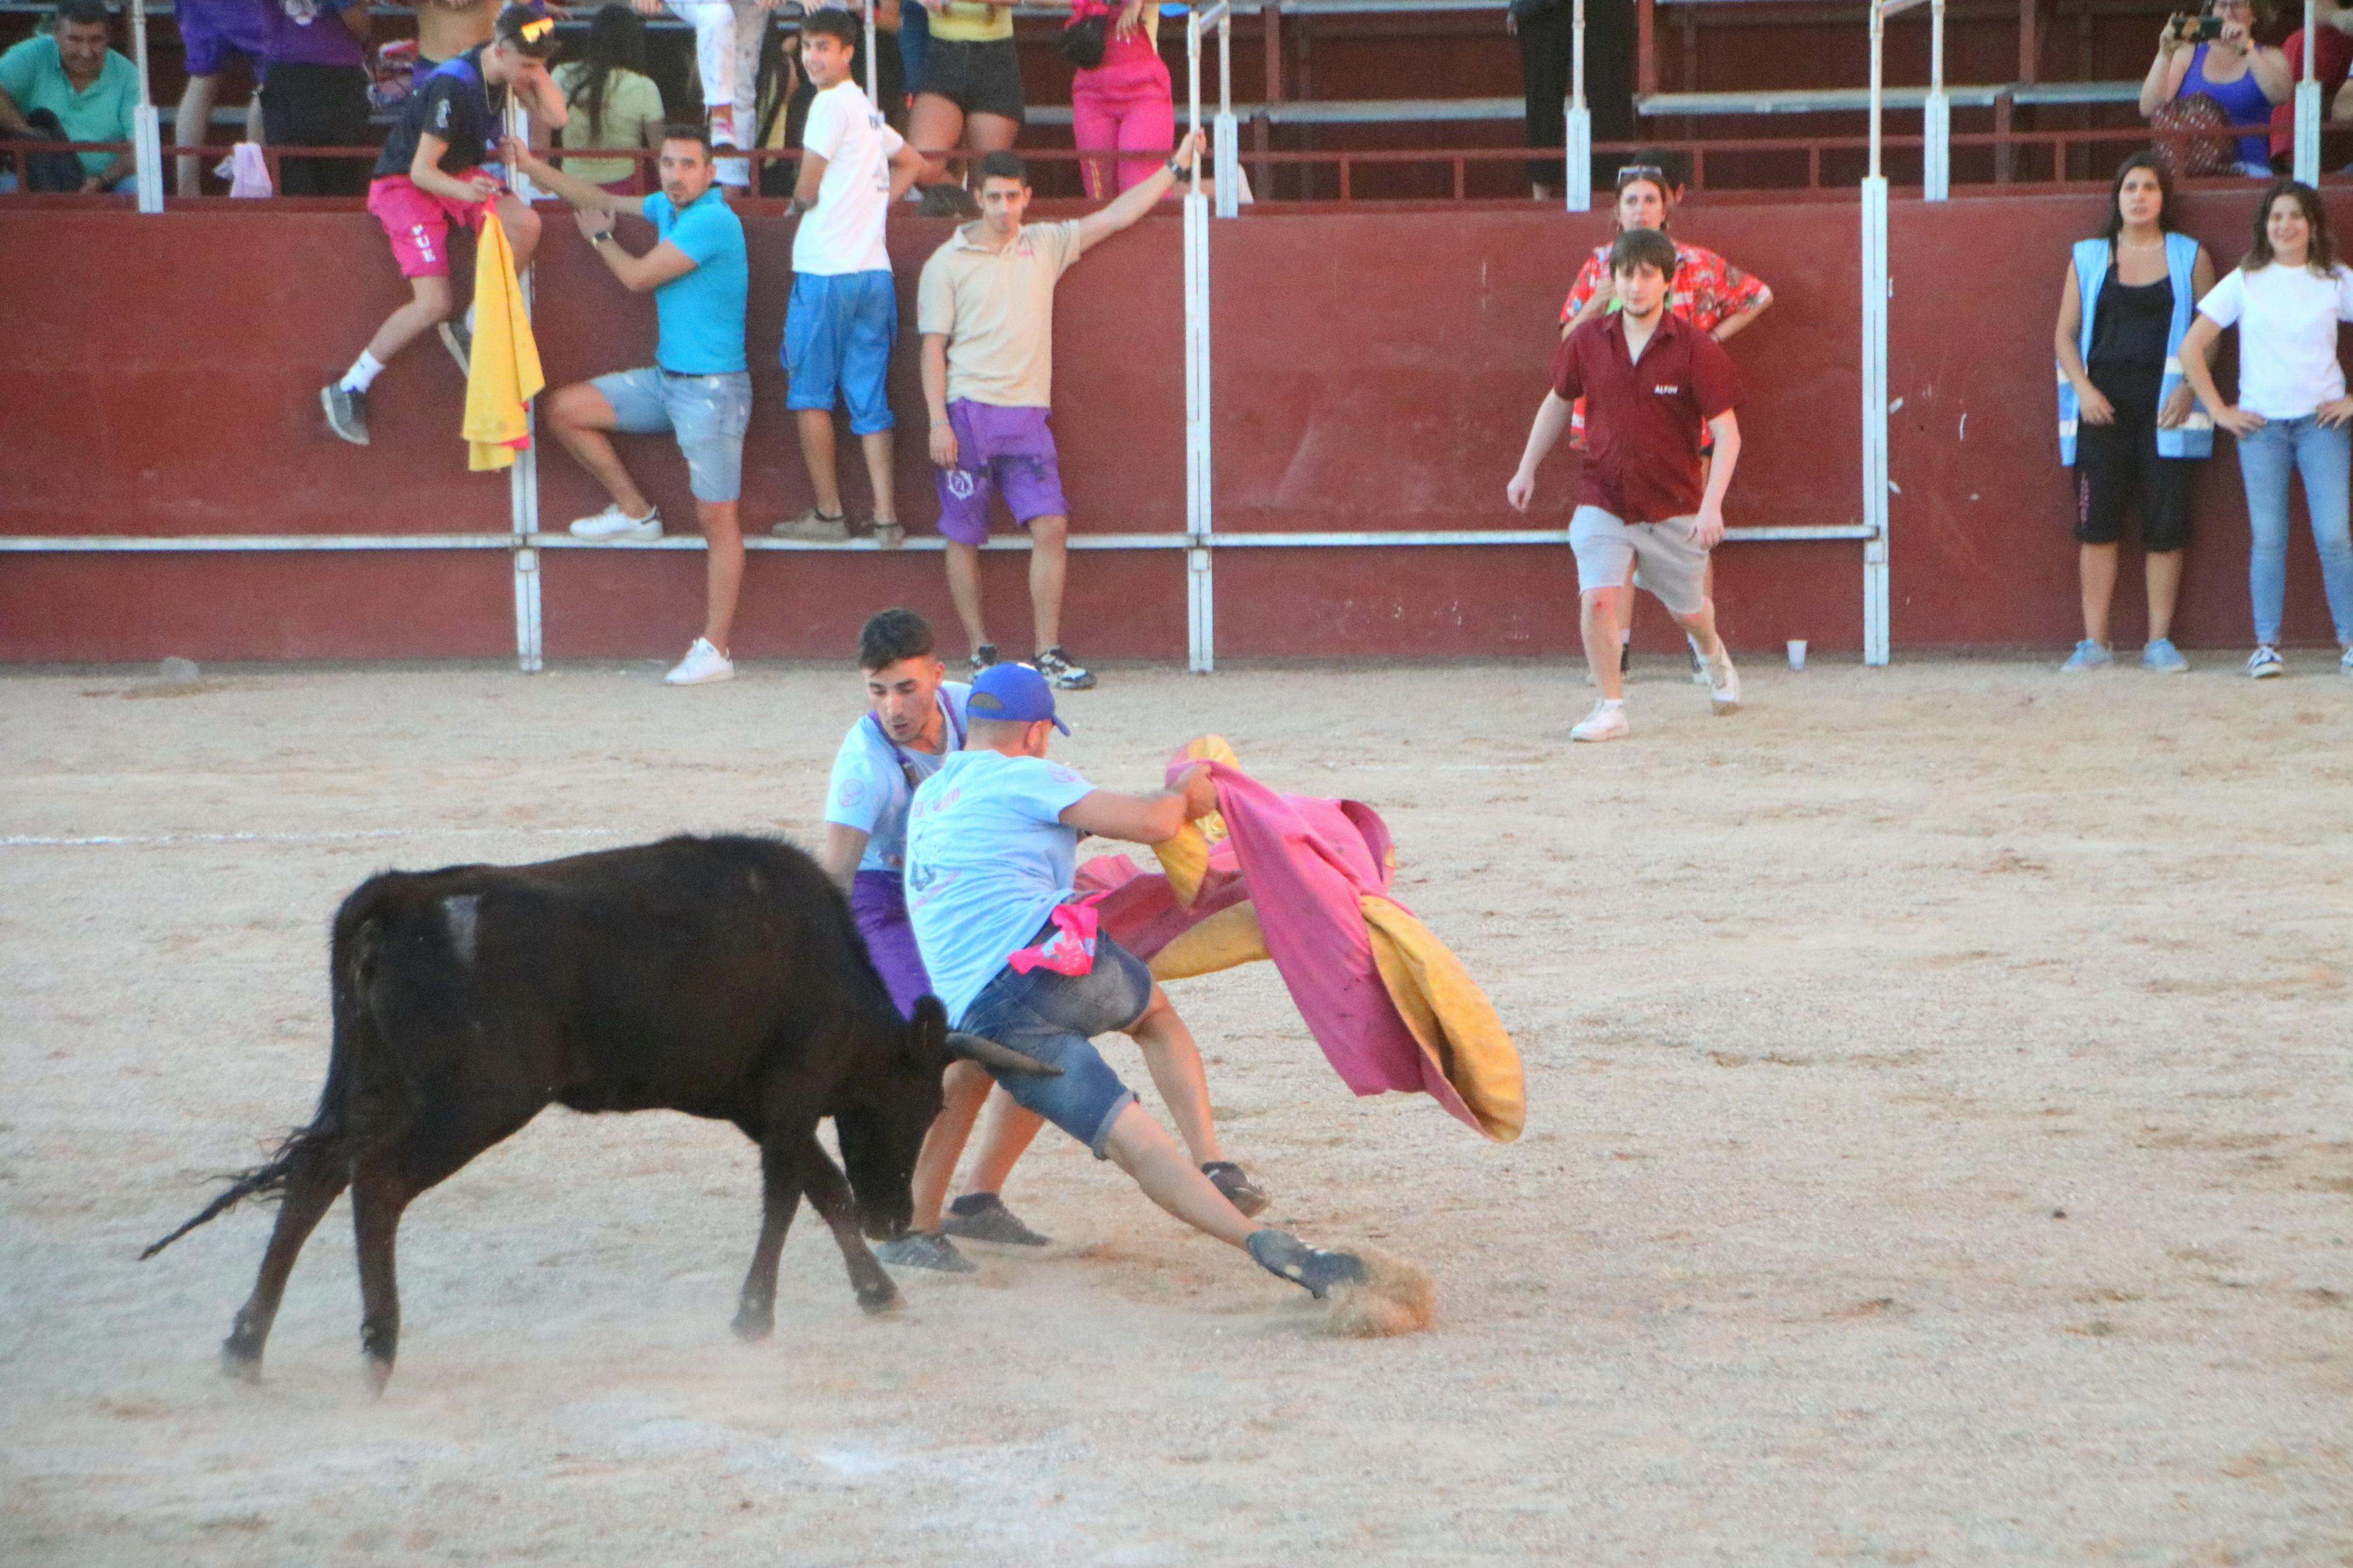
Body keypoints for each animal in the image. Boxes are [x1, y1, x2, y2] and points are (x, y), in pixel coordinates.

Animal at [142, 841, 1054, 1391]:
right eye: (917, 1101)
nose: (893, 1216)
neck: (831, 977)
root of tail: (407, 895)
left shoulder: (762, 1110)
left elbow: (818, 1190)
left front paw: (873, 1291)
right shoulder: (791, 1100)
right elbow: (791, 1197)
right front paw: (754, 1315)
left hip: (379, 1083)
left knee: (316, 1172)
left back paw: (246, 1345)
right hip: (472, 1100)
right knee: (379, 1184)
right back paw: (378, 1346)